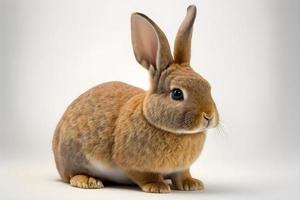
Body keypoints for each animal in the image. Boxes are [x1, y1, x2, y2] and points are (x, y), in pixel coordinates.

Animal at [52, 4, 219, 192]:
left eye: (208, 85)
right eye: (177, 93)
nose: (209, 116)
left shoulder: (181, 168)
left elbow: (182, 174)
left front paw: (191, 184)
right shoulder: (132, 165)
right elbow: (145, 175)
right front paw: (158, 186)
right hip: (73, 156)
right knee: (71, 175)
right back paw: (88, 181)